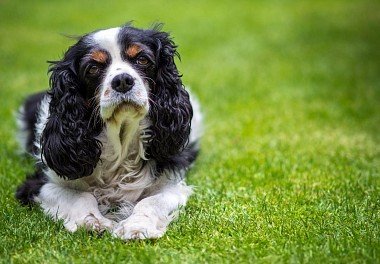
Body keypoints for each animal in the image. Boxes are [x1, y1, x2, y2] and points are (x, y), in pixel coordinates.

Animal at [14, 23, 202, 240]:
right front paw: (93, 222)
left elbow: (150, 201)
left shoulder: (171, 184)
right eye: (93, 68)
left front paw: (137, 226)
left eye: (142, 59)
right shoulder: (40, 183)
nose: (122, 80)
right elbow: (81, 196)